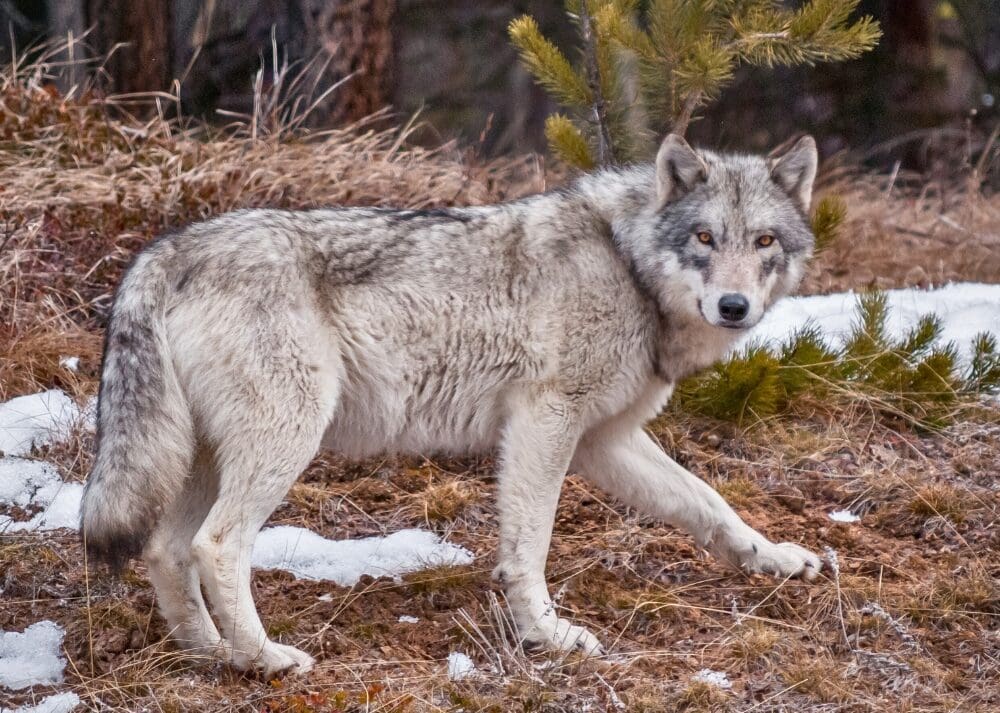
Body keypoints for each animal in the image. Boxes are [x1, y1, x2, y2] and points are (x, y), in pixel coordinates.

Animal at [81, 133, 822, 676]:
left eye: (763, 241)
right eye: (704, 238)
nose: (734, 307)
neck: (627, 264)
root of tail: (165, 250)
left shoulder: (603, 440)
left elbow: (711, 504)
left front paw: (777, 559)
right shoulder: (546, 420)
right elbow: (529, 546)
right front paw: (548, 634)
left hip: (207, 459)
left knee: (164, 549)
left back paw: (211, 654)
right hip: (284, 442)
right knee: (215, 545)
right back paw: (265, 658)